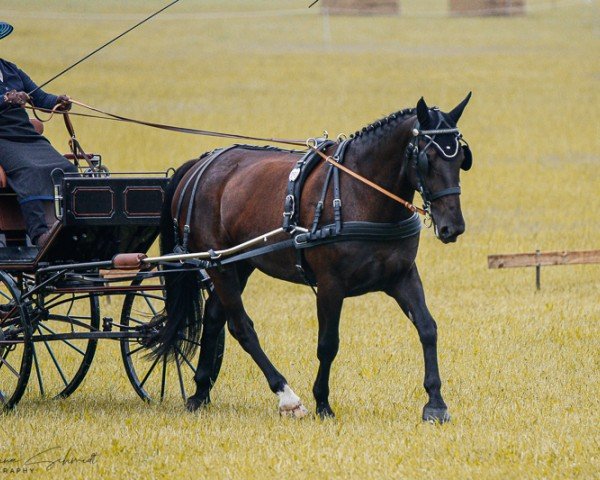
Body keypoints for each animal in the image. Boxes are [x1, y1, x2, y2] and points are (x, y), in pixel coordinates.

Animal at [150, 93, 474, 420]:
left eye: (461, 159)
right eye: (427, 159)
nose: (453, 227)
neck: (361, 192)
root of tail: (201, 163)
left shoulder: (402, 276)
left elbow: (427, 328)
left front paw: (435, 403)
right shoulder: (330, 285)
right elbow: (328, 344)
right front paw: (323, 402)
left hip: (236, 263)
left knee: (216, 316)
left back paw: (200, 391)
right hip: (220, 265)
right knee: (241, 326)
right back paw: (286, 396)